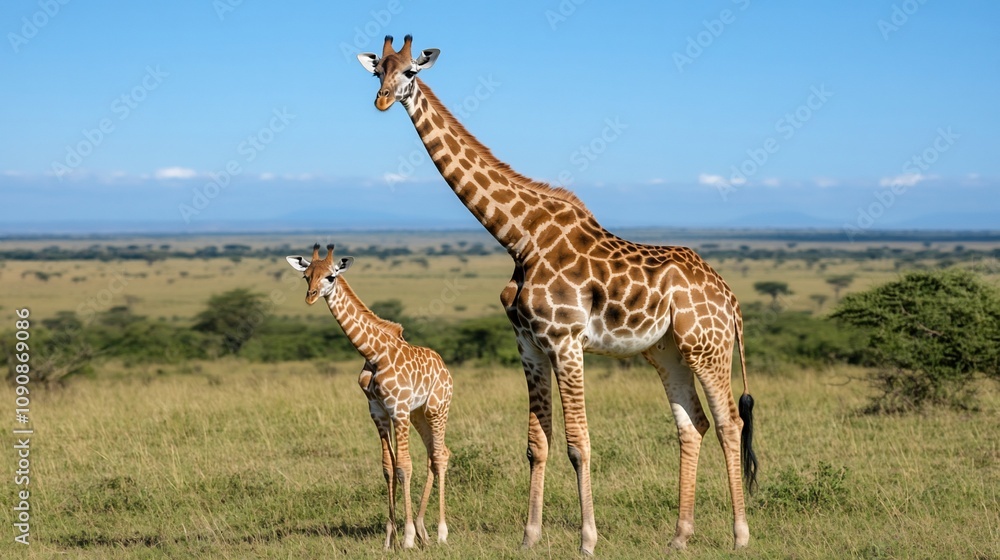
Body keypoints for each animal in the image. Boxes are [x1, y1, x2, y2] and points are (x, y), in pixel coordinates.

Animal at [285, 243, 453, 550]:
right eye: (306, 276)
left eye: (331, 276)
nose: (310, 297)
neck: (373, 353)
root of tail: (445, 367)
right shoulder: (378, 411)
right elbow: (388, 467)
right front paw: (389, 538)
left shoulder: (397, 408)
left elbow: (404, 466)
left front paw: (407, 538)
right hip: (418, 414)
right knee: (436, 453)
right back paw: (423, 529)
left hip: (437, 408)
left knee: (439, 456)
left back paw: (440, 533)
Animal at [356, 36, 758, 554]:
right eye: (376, 72)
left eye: (409, 71)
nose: (382, 100)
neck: (518, 236)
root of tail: (730, 299)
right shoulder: (529, 344)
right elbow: (538, 443)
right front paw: (530, 535)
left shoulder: (566, 342)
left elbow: (578, 443)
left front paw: (587, 539)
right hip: (666, 352)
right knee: (693, 424)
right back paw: (680, 536)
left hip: (708, 346)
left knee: (730, 423)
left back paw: (740, 534)